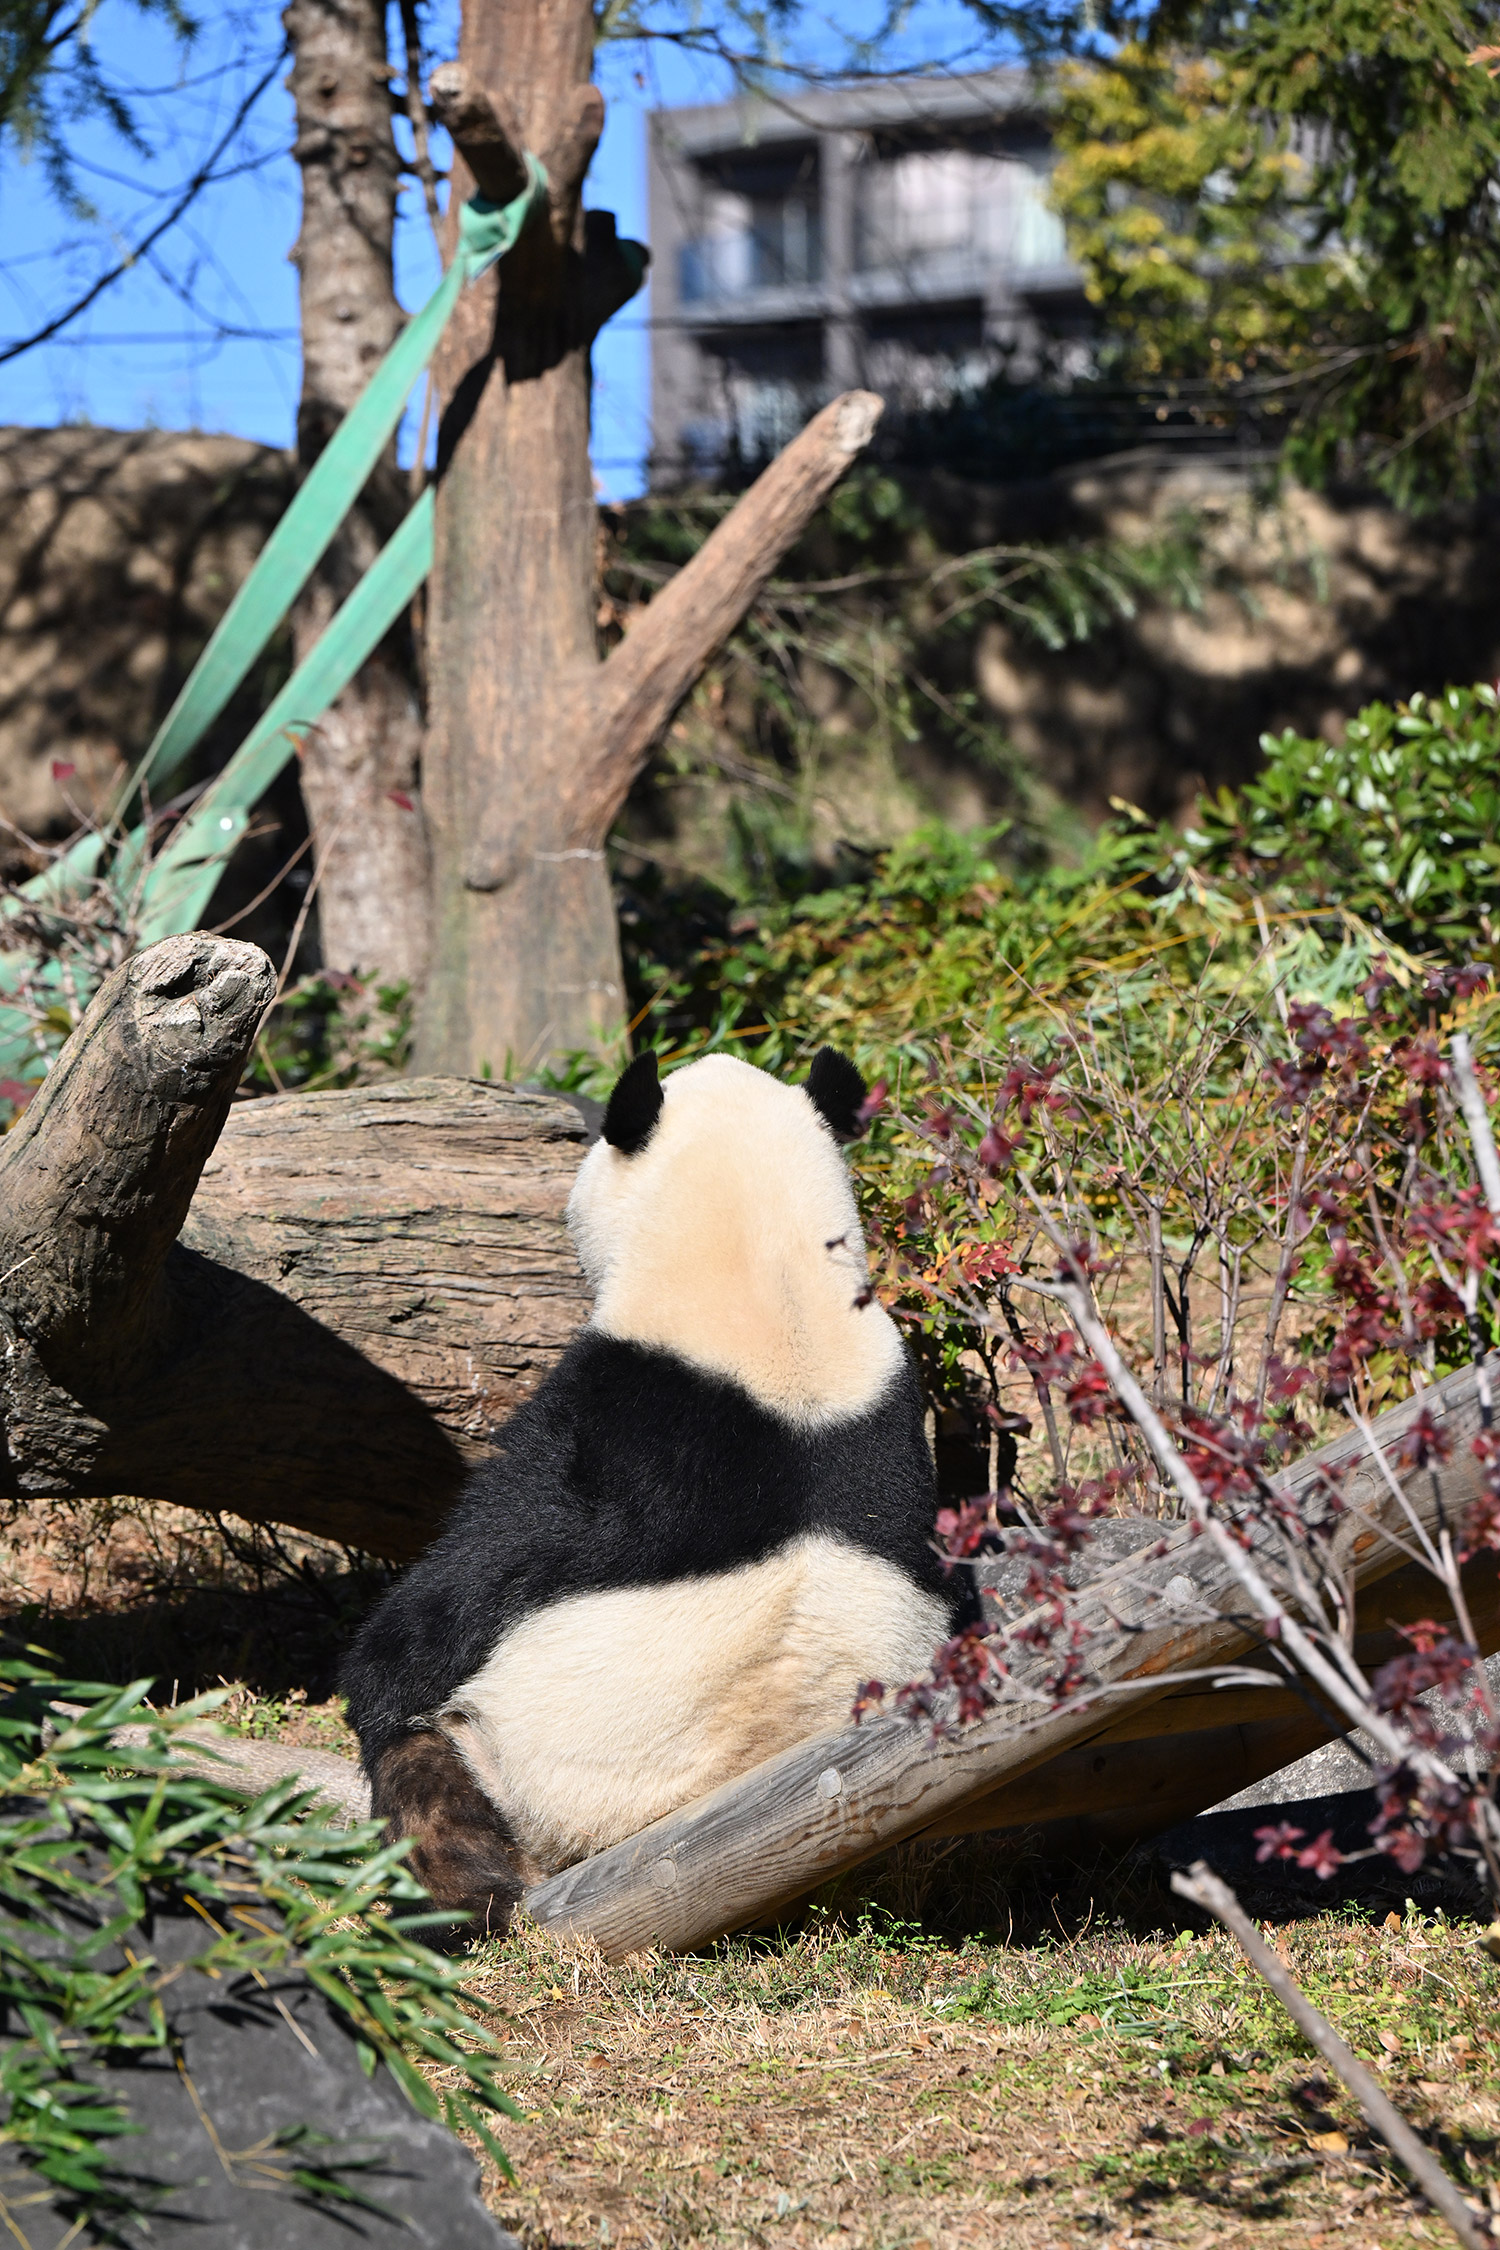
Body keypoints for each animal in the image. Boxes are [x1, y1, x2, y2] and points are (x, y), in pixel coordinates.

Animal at [341, 1045, 976, 1932]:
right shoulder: (893, 1420)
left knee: (428, 1779)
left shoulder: (607, 1424)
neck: (774, 1284)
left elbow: (448, 1602)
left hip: (513, 1770)